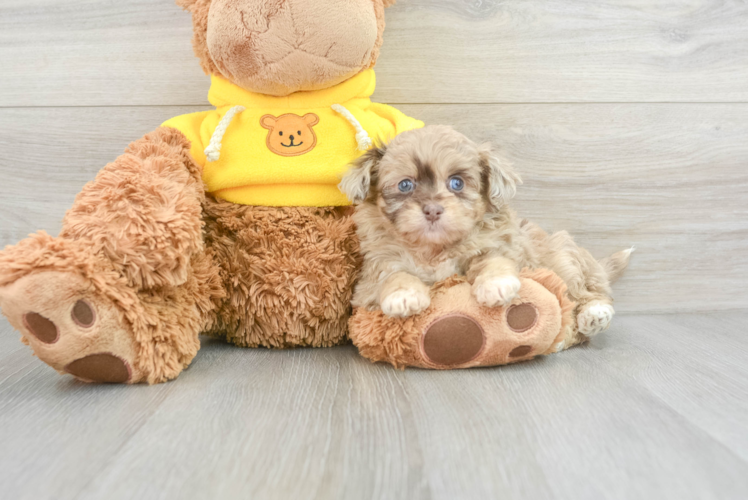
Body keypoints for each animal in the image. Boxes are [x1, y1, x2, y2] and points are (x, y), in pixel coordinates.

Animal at [338, 125, 632, 344]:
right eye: (405, 185)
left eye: (456, 183)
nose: (432, 209)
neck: (434, 248)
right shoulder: (374, 272)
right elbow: (394, 274)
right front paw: (404, 296)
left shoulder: (498, 245)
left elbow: (493, 260)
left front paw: (496, 284)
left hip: (562, 256)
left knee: (588, 291)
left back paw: (594, 314)